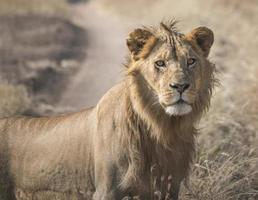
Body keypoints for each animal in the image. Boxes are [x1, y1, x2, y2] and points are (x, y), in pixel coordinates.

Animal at [0, 21, 215, 199]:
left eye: (191, 61)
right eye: (160, 63)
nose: (181, 86)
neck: (162, 127)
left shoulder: (168, 187)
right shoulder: (106, 190)